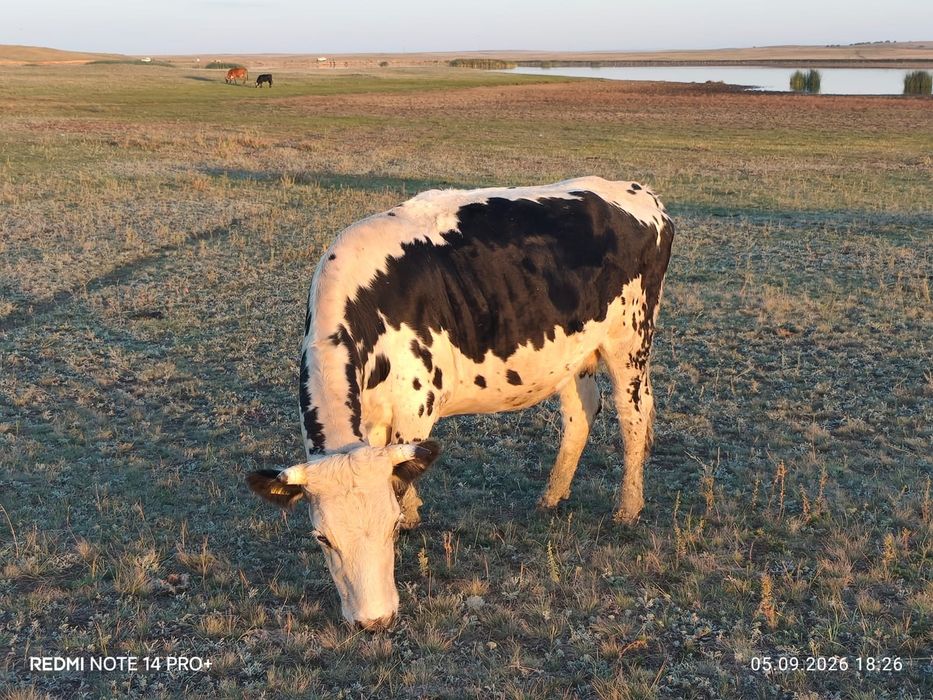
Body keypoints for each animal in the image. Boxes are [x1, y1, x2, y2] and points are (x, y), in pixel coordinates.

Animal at [247, 177, 675, 630]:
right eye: (322, 538)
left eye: (390, 529)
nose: (373, 620)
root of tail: (639, 192)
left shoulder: (416, 406)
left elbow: (402, 478)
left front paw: (411, 517)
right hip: (574, 352)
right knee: (581, 412)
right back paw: (552, 495)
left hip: (630, 339)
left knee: (633, 415)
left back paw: (628, 507)